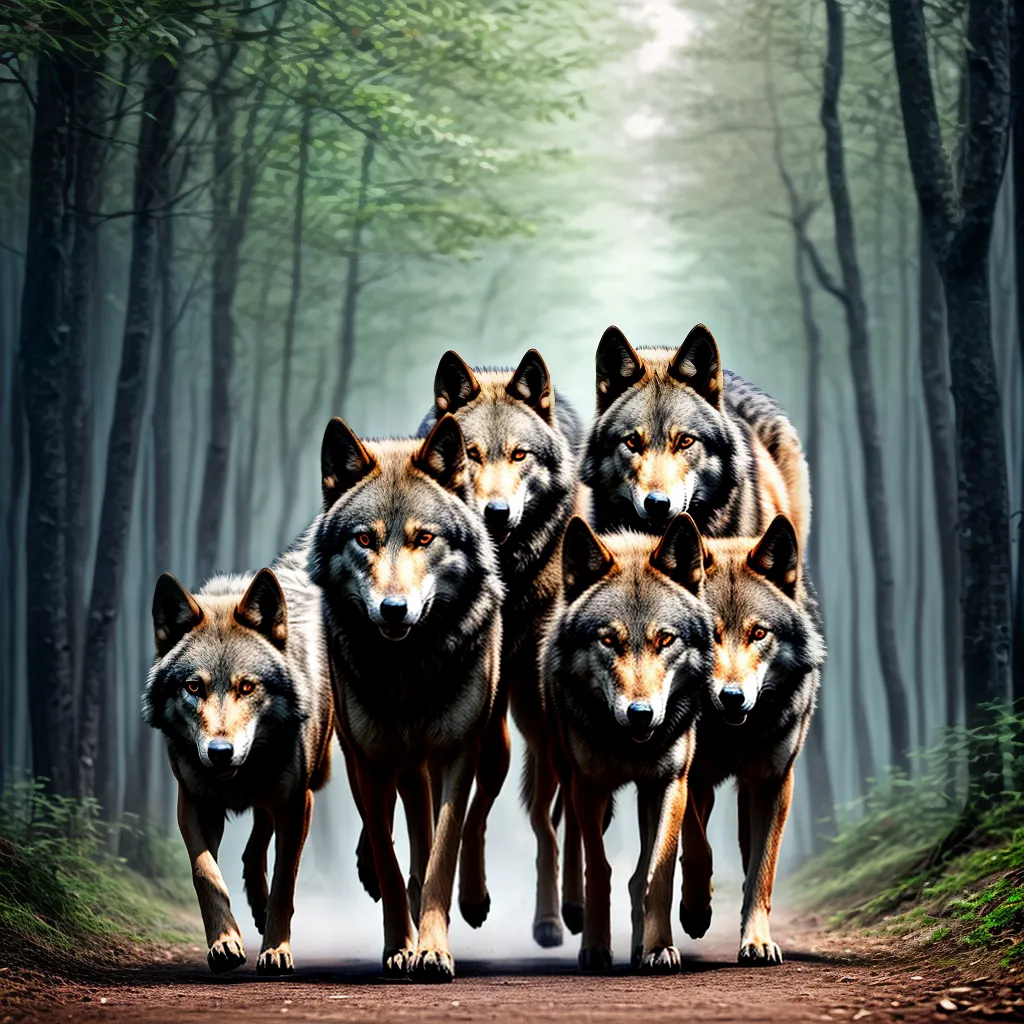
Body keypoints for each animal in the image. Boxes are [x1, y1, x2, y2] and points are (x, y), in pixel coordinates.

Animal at [143, 537, 333, 975]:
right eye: (194, 687)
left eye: (247, 687)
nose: (220, 753)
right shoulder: (194, 802)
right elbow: (206, 874)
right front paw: (225, 942)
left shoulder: (298, 802)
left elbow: (285, 881)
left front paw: (276, 949)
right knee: (253, 844)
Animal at [310, 413, 504, 982]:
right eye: (364, 540)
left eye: (424, 538)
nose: (393, 609)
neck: (408, 669)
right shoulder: (370, 761)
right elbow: (390, 859)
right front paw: (400, 944)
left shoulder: (457, 755)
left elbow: (440, 856)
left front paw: (433, 949)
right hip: (380, 760)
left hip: (479, 753)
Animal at [420, 348, 582, 947]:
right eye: (469, 453)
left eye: (519, 454)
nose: (495, 513)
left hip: (538, 720)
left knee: (551, 819)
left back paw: (559, 915)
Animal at [543, 514, 713, 974]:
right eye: (608, 640)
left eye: (665, 640)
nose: (640, 713)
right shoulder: (589, 788)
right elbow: (599, 869)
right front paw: (595, 948)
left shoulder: (670, 783)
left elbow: (656, 872)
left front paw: (657, 948)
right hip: (572, 779)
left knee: (640, 872)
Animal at [678, 515, 826, 964]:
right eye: (708, 634)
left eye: (758, 633)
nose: (732, 696)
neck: (732, 734)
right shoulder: (691, 777)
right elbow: (698, 848)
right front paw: (695, 910)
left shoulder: (772, 783)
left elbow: (762, 870)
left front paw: (757, 941)